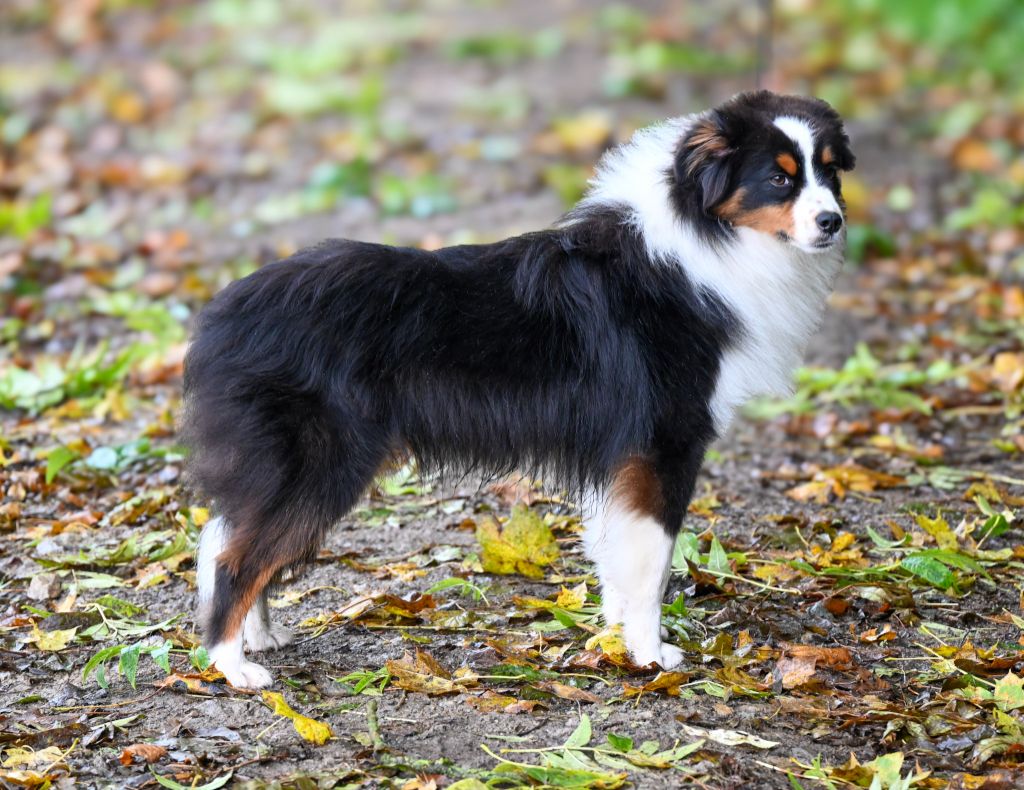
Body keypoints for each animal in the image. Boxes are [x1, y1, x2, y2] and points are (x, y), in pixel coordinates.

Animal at [182, 91, 847, 684]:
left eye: (830, 171)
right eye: (780, 179)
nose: (833, 223)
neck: (701, 236)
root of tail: (221, 315)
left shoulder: (622, 457)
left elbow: (618, 555)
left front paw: (615, 635)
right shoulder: (665, 444)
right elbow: (653, 563)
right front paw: (650, 655)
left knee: (224, 537)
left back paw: (257, 637)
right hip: (323, 461)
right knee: (235, 555)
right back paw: (233, 666)